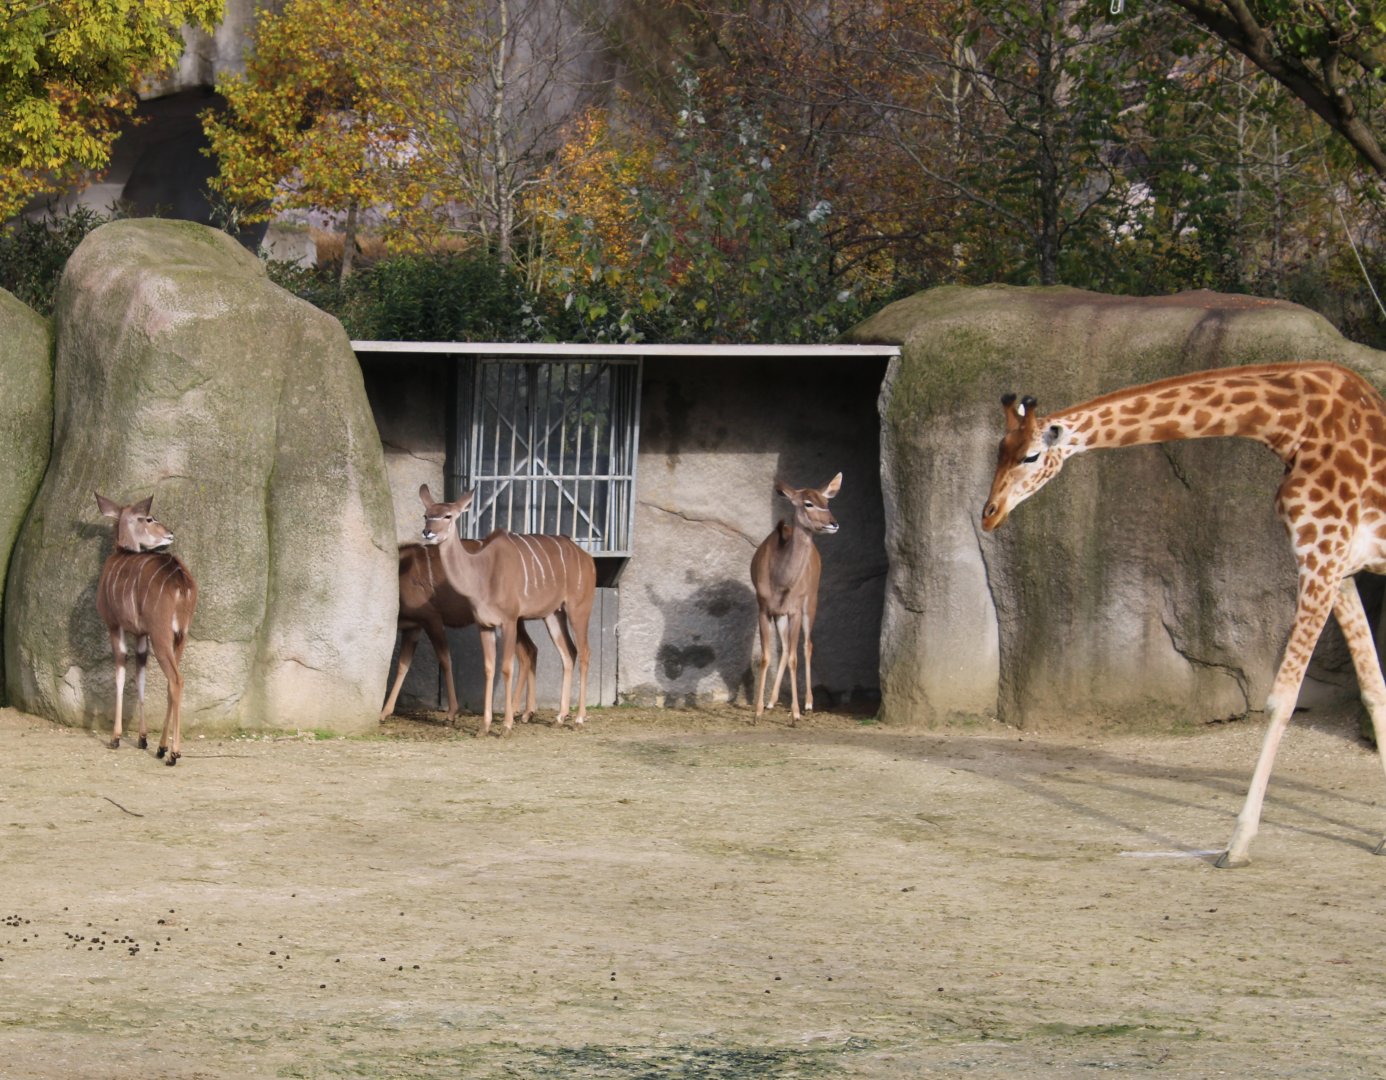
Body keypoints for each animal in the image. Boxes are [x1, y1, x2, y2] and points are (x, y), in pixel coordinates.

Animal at [981, 360, 1386, 868]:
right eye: (998, 451)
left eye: (1031, 457)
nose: (989, 514)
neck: (1292, 424)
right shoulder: (1341, 569)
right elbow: (1374, 689)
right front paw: (1383, 838)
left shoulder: (1321, 556)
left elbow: (1282, 700)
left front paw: (1237, 846)